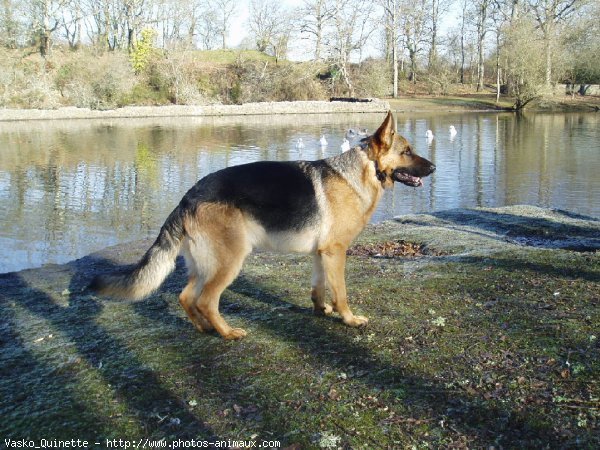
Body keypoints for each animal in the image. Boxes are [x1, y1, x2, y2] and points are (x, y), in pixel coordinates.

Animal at [89, 110, 434, 340]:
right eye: (406, 151)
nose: (433, 167)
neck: (364, 170)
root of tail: (189, 195)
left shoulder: (320, 253)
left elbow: (319, 287)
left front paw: (320, 311)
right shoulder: (335, 252)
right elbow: (341, 292)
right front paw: (348, 319)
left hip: (204, 263)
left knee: (186, 297)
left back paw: (204, 328)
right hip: (230, 260)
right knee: (206, 300)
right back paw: (227, 333)